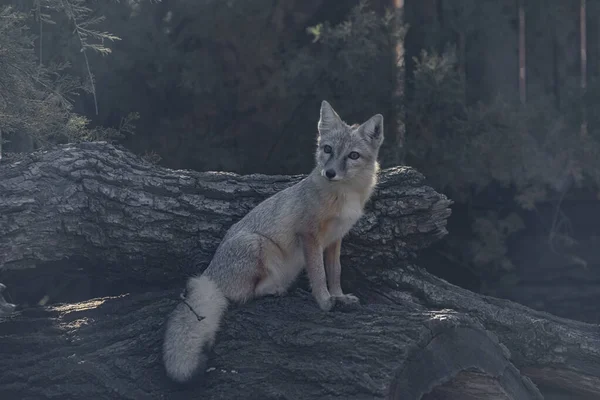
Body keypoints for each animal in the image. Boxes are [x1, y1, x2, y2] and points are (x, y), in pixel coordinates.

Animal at [162, 98, 384, 382]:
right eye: (328, 149)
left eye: (353, 155)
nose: (330, 172)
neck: (344, 198)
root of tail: (208, 276)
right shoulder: (309, 235)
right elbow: (319, 274)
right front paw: (324, 301)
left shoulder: (335, 240)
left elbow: (335, 272)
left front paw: (339, 296)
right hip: (260, 246)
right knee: (244, 296)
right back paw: (275, 291)